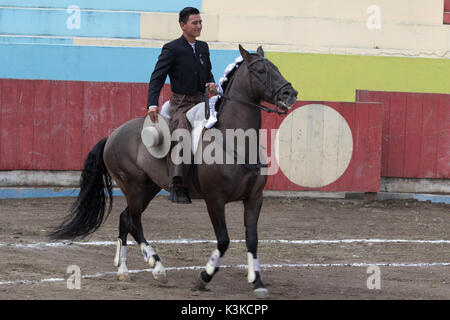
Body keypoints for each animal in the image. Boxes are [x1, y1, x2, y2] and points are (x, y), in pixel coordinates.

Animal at [49, 44, 298, 298]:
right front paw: (203, 277)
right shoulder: (215, 200)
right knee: (133, 221)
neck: (236, 141)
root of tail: (112, 135)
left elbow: (252, 240)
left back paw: (124, 270)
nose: (290, 94)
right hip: (134, 187)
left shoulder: (254, 198)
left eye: (276, 67)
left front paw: (258, 282)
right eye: (260, 70)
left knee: (125, 218)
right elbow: (224, 240)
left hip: (148, 188)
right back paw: (157, 267)